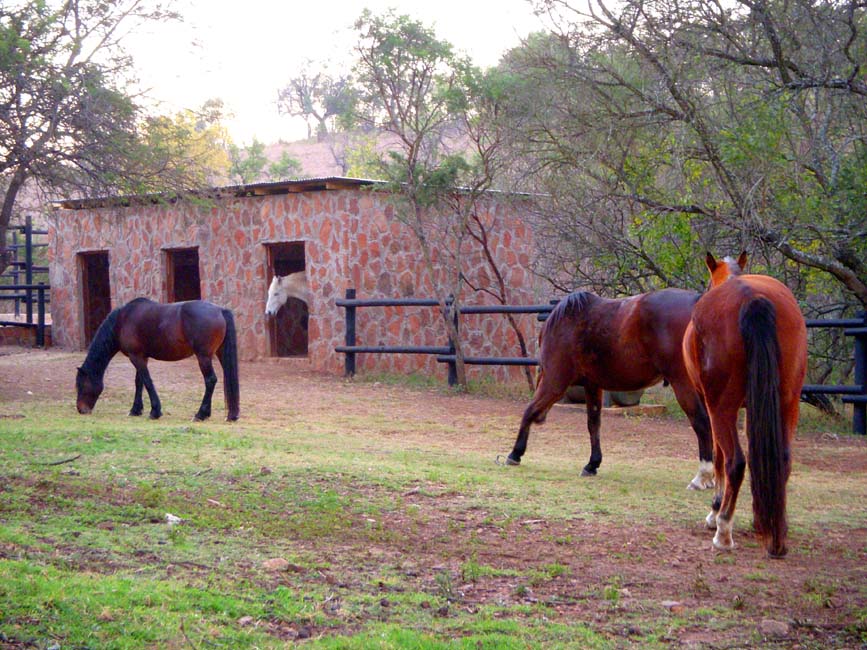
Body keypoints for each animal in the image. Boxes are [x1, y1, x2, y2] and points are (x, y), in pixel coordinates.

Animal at [76, 294, 241, 418]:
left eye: (81, 385)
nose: (81, 409)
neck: (122, 321)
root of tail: (220, 310)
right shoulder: (140, 357)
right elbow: (139, 382)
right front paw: (135, 410)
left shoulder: (135, 357)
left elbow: (147, 381)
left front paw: (155, 411)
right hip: (219, 354)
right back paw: (230, 414)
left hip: (204, 357)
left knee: (210, 380)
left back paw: (201, 414)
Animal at [506, 286, 716, 488]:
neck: (567, 322)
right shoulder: (592, 385)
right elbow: (593, 424)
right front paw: (592, 464)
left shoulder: (554, 382)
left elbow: (529, 410)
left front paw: (515, 453)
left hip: (682, 383)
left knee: (701, 422)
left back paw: (702, 476)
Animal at [680, 251, 812, 556]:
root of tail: (753, 297)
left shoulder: (711, 408)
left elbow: (718, 458)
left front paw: (715, 511)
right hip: (788, 402)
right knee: (782, 459)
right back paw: (775, 533)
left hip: (721, 408)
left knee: (735, 462)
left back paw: (723, 530)